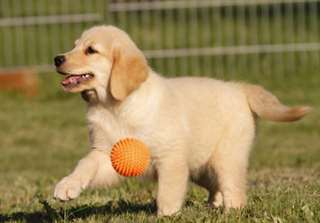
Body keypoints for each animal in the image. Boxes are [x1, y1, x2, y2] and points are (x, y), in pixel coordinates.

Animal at [53, 25, 310, 216]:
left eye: (91, 50)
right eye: (75, 45)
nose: (57, 58)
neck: (116, 106)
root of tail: (238, 88)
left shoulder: (171, 157)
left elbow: (168, 191)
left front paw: (166, 214)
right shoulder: (109, 153)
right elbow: (86, 164)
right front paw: (67, 185)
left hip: (227, 157)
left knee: (233, 187)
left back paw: (231, 211)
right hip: (201, 166)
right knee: (216, 185)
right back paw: (214, 205)